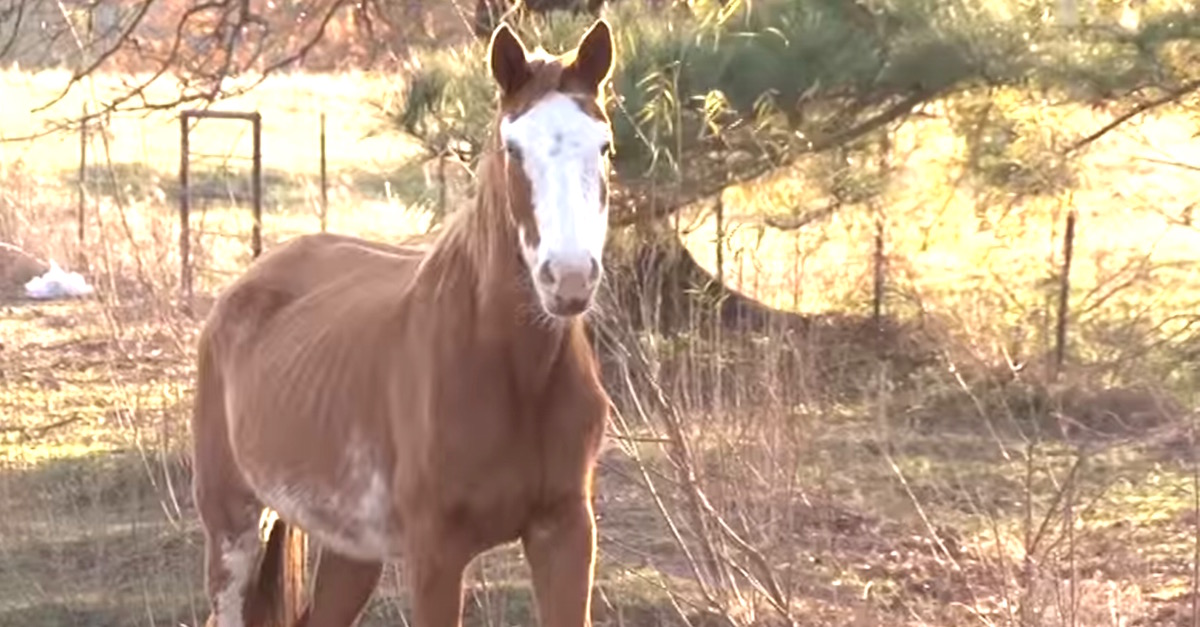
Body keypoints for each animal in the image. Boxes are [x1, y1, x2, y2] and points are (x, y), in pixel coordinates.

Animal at [190, 19, 619, 624]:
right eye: (513, 147)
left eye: (602, 145)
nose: (570, 278)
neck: (513, 373)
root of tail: (243, 286)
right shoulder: (435, 552)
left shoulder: (566, 534)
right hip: (231, 523)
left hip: (350, 548)